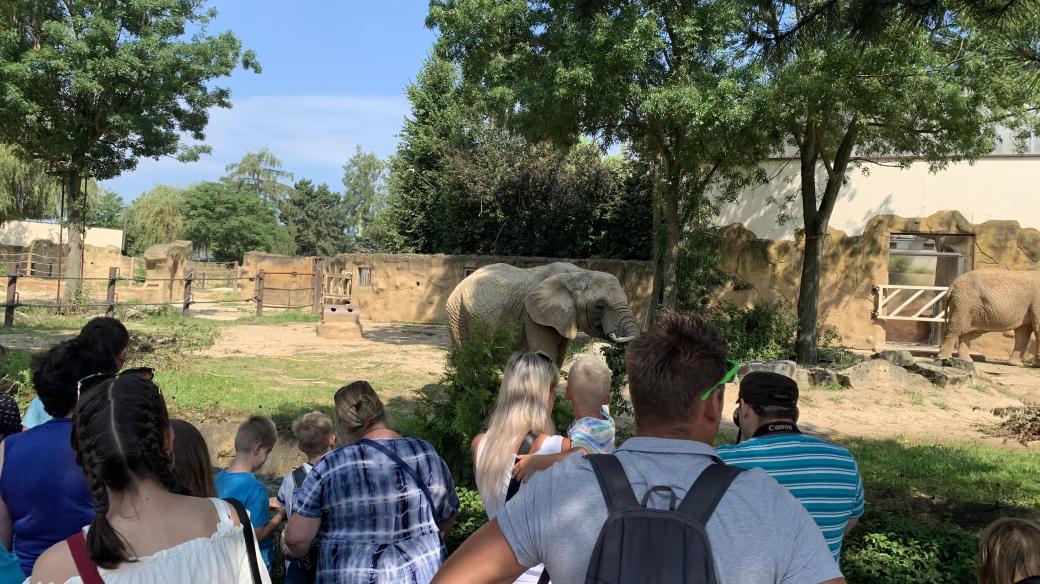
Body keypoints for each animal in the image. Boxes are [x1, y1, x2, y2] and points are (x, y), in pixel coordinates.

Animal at [445, 259, 640, 361]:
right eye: (599, 305)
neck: (579, 274)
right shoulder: (533, 315)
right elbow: (546, 355)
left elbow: (558, 358)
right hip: (456, 312)